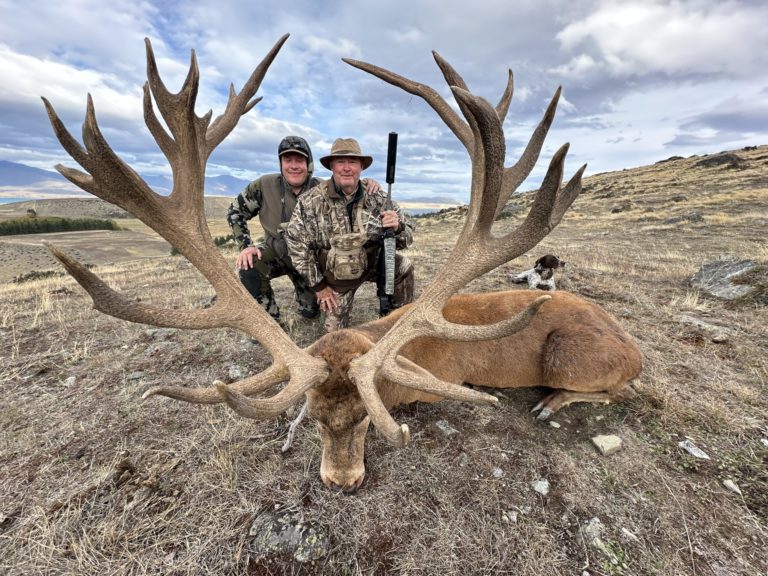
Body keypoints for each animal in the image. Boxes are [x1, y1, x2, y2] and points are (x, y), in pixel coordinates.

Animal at [42, 34, 643, 492]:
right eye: (313, 418)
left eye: (364, 418)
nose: (341, 481)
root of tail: (634, 349)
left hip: (571, 361)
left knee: (618, 390)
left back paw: (550, 403)